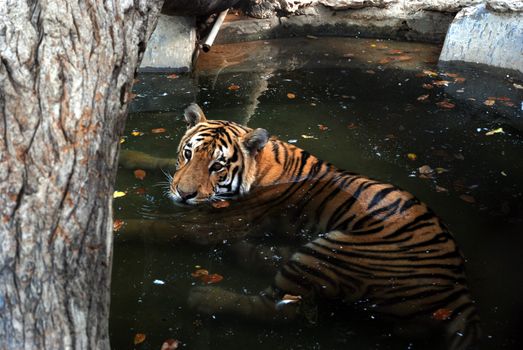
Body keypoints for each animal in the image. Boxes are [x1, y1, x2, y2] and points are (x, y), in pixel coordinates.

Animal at [169, 102, 484, 348]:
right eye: (188, 154)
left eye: (218, 166)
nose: (183, 194)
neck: (262, 167)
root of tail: (461, 288)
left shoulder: (221, 221)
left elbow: (165, 228)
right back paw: (238, 251)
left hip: (330, 251)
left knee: (280, 308)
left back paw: (204, 296)